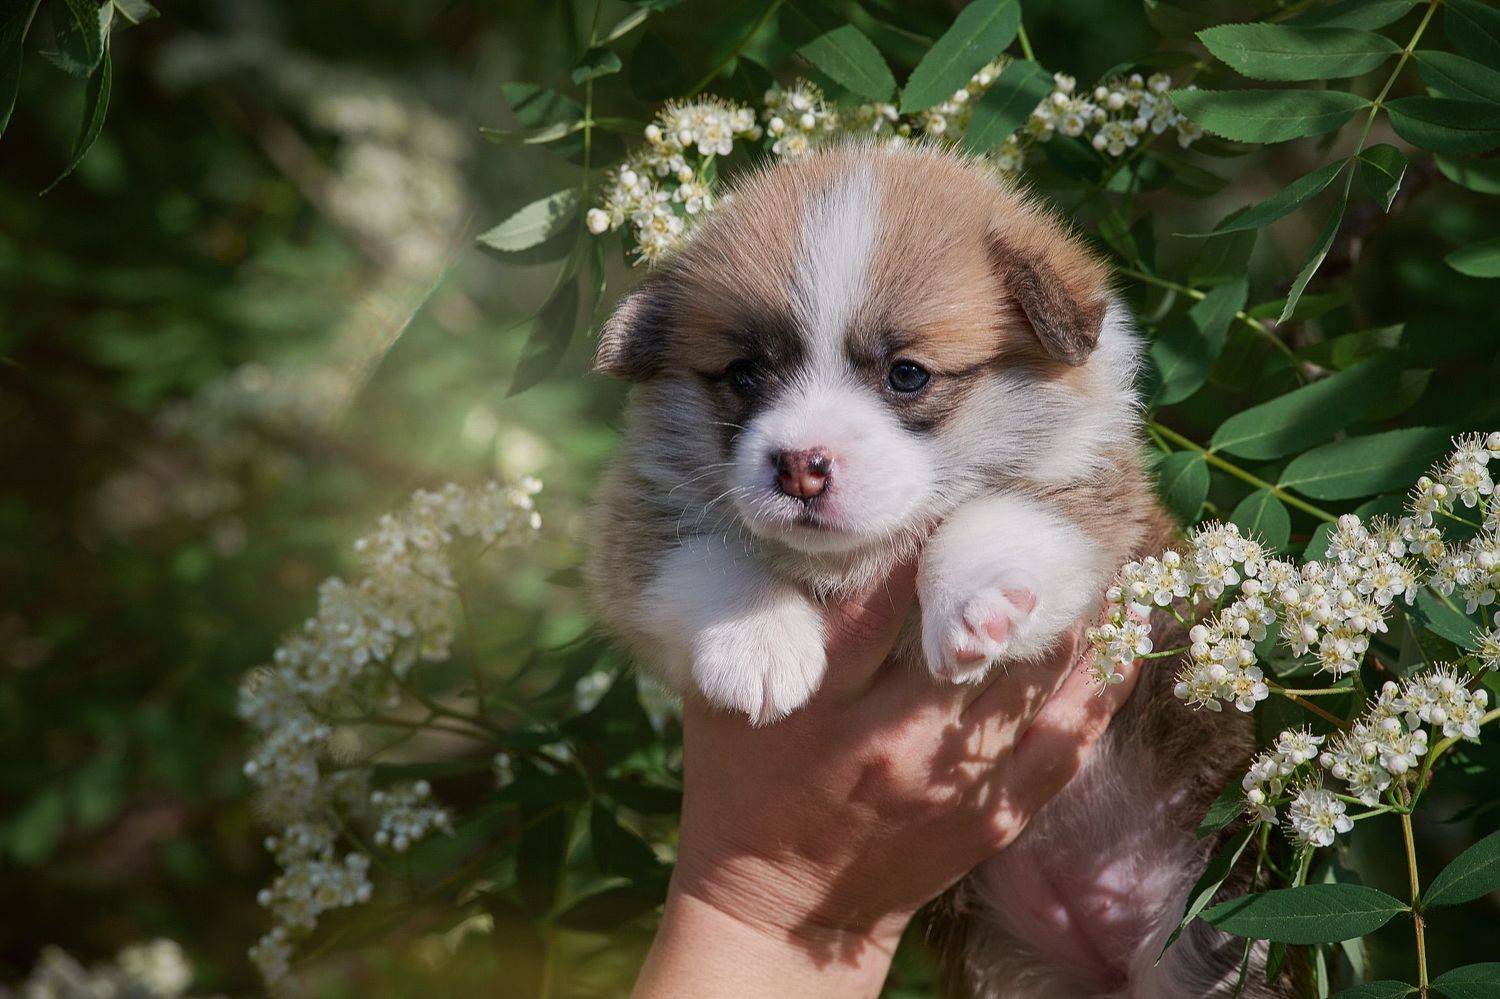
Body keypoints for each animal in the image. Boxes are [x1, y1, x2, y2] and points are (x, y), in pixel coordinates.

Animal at [587, 143, 1288, 998]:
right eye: (745, 374)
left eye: (908, 374)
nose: (800, 467)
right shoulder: (636, 522)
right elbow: (699, 553)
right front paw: (757, 641)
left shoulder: (1098, 509)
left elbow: (994, 512)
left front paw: (975, 599)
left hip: (1210, 930)